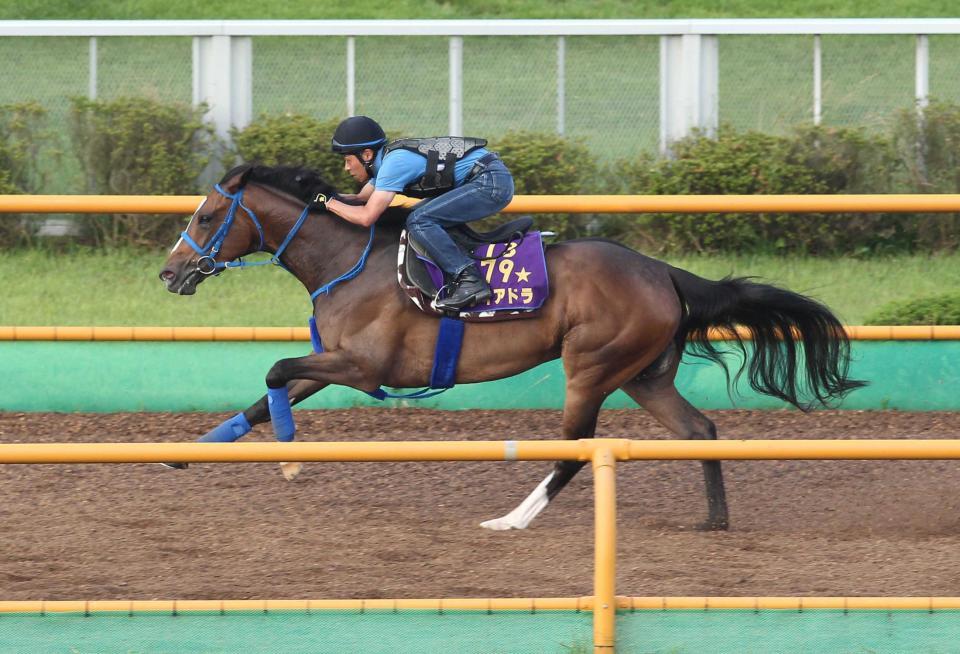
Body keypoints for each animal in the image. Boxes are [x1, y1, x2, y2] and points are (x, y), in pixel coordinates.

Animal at [161, 164, 868, 532]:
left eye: (205, 217)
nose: (170, 274)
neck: (349, 260)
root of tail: (665, 273)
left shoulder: (363, 365)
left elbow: (275, 369)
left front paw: (288, 457)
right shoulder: (335, 361)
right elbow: (268, 390)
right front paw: (184, 453)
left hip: (593, 366)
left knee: (577, 448)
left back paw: (513, 519)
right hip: (643, 375)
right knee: (701, 430)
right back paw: (714, 519)